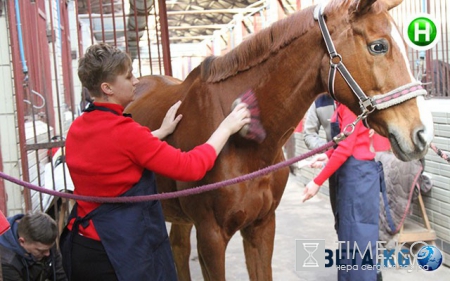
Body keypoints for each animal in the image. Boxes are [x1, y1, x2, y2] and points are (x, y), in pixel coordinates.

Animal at [125, 1, 434, 278]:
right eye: (378, 46)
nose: (422, 133)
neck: (244, 145)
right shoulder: (210, 237)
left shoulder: (262, 226)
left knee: (178, 246)